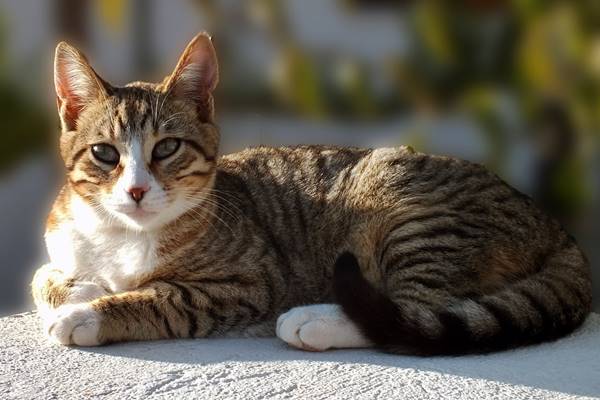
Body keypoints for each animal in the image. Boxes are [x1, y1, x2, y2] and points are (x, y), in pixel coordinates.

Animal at [31, 32, 592, 354]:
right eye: (105, 154)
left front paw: (87, 313)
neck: (121, 236)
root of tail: (556, 227)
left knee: (414, 312)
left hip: (412, 212)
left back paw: (314, 321)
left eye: (167, 147)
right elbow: (43, 277)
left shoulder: (247, 282)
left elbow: (163, 297)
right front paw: (81, 288)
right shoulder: (61, 239)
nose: (137, 190)